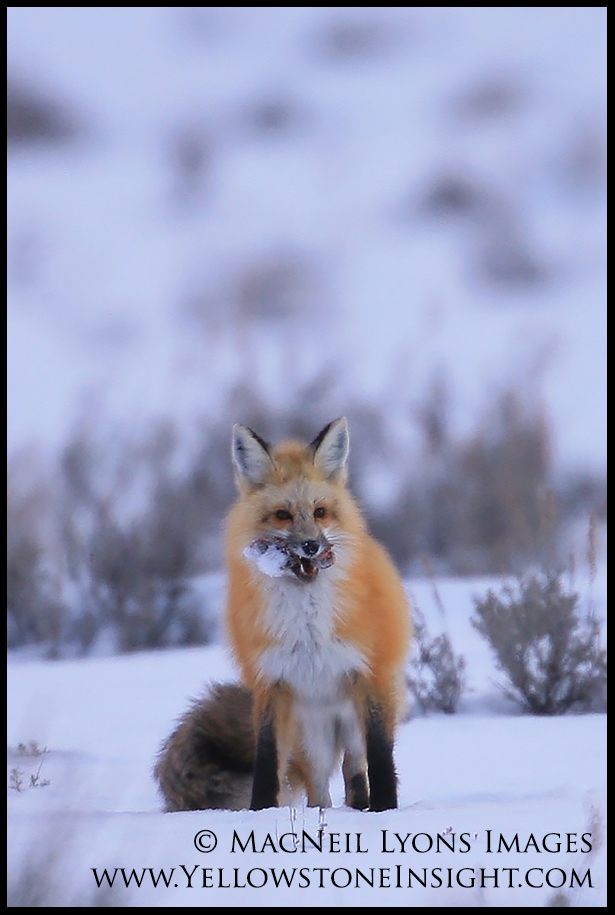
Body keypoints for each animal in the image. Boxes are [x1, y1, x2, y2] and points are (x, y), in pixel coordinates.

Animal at [156, 418, 412, 812]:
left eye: (320, 512)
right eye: (282, 515)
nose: (311, 545)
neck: (308, 625)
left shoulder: (371, 677)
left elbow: (381, 758)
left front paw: (386, 811)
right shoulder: (272, 683)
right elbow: (267, 759)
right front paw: (259, 812)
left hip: (352, 723)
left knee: (355, 771)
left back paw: (361, 808)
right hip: (311, 737)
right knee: (320, 793)